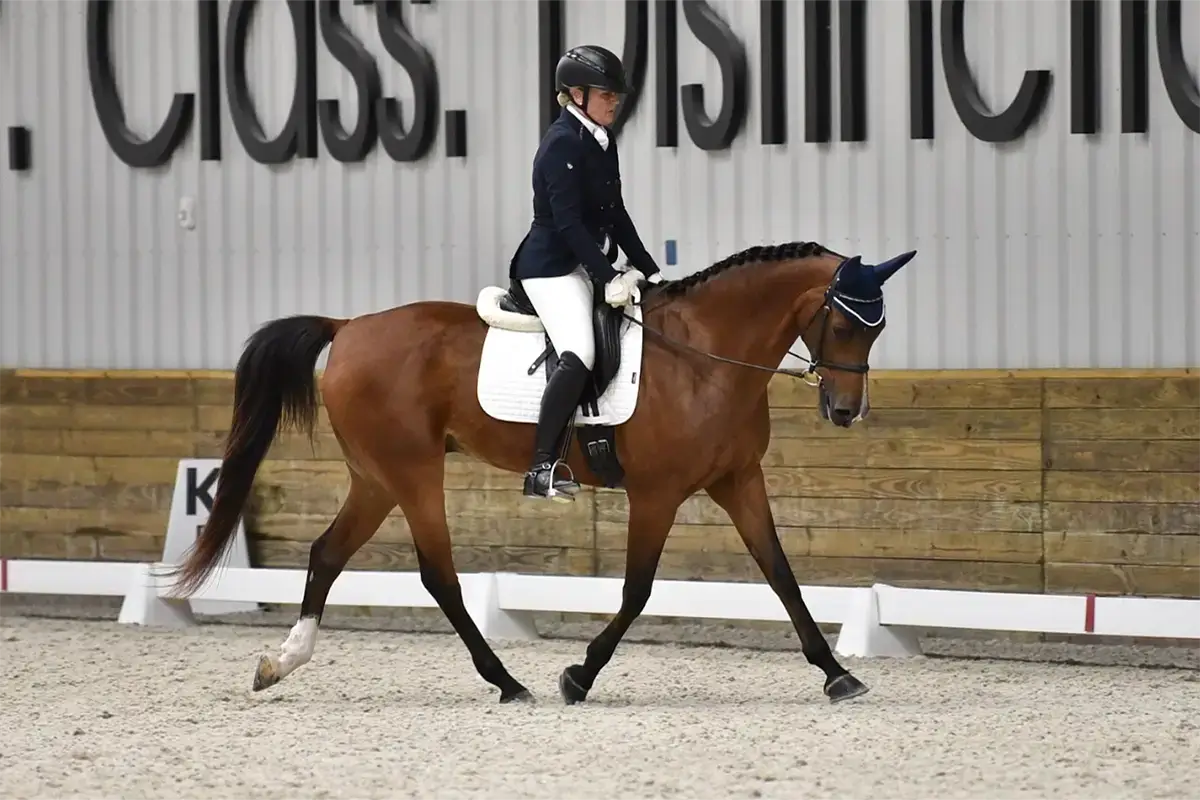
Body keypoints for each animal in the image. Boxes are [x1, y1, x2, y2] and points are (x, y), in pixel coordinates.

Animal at [164, 239, 915, 706]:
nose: (845, 411)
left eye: (876, 329)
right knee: (437, 576)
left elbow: (782, 575)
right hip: (410, 474)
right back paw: (506, 681)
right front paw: (578, 675)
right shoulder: (658, 494)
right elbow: (637, 591)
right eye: (843, 325)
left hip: (376, 479)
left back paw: (281, 661)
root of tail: (347, 327)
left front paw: (837, 673)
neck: (706, 356)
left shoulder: (738, 481)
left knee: (326, 553)